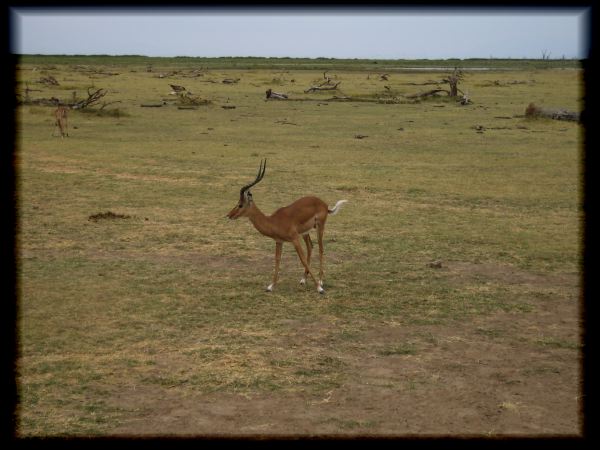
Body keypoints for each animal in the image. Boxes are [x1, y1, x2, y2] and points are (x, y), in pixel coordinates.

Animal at [226, 159, 350, 296]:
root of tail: (324, 205)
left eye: (240, 204)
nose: (229, 215)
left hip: (319, 227)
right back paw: (303, 279)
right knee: (310, 247)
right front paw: (270, 286)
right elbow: (277, 260)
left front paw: (319, 288)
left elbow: (302, 259)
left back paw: (321, 281)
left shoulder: (294, 239)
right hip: (305, 233)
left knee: (320, 249)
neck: (273, 221)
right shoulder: (279, 241)